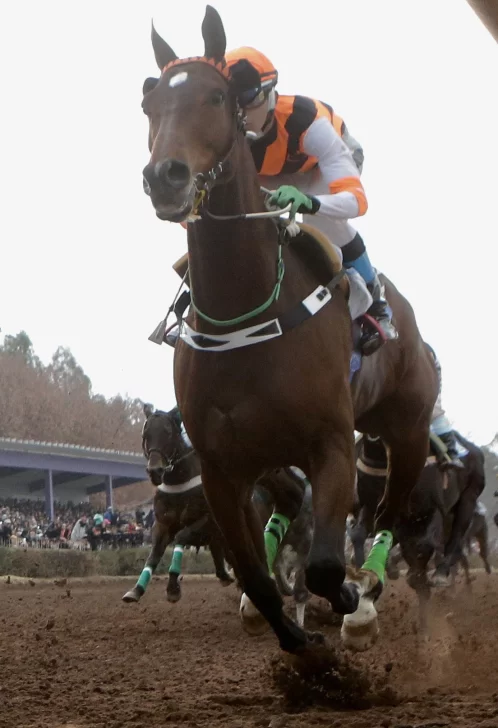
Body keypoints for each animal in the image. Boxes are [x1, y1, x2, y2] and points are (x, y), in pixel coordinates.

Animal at [140, 5, 436, 656]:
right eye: (148, 102)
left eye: (218, 96)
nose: (165, 176)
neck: (247, 311)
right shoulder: (223, 470)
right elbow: (254, 571)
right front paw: (292, 638)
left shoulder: (332, 444)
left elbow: (326, 565)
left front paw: (346, 602)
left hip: (406, 433)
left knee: (388, 519)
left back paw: (366, 599)